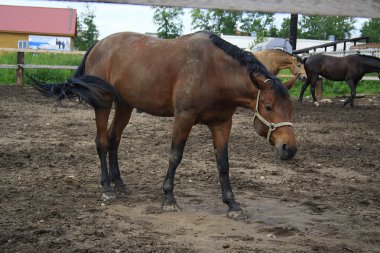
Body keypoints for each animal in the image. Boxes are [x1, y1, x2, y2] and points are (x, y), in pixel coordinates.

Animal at [30, 31, 296, 217]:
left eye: (291, 108)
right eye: (268, 107)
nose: (289, 148)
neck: (214, 71)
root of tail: (98, 45)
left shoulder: (222, 123)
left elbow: (223, 163)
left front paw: (232, 204)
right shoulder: (183, 118)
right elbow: (175, 156)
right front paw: (168, 198)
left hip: (125, 105)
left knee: (114, 140)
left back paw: (120, 184)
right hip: (103, 104)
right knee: (102, 142)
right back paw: (107, 187)